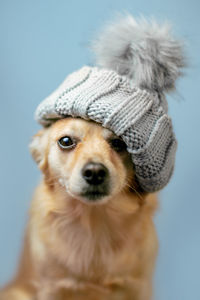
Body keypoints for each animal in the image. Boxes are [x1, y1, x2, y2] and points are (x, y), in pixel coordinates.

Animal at [0, 117, 159, 300]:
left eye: (120, 143)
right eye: (66, 141)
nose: (95, 172)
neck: (94, 224)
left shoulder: (137, 287)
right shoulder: (51, 288)